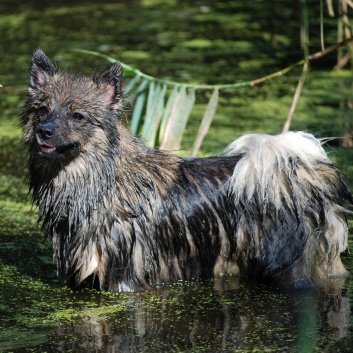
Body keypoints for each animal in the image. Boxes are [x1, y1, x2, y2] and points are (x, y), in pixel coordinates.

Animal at [20, 49, 350, 292]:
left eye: (78, 116)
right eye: (42, 110)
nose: (44, 131)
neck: (99, 182)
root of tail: (307, 171)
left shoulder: (123, 280)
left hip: (294, 270)